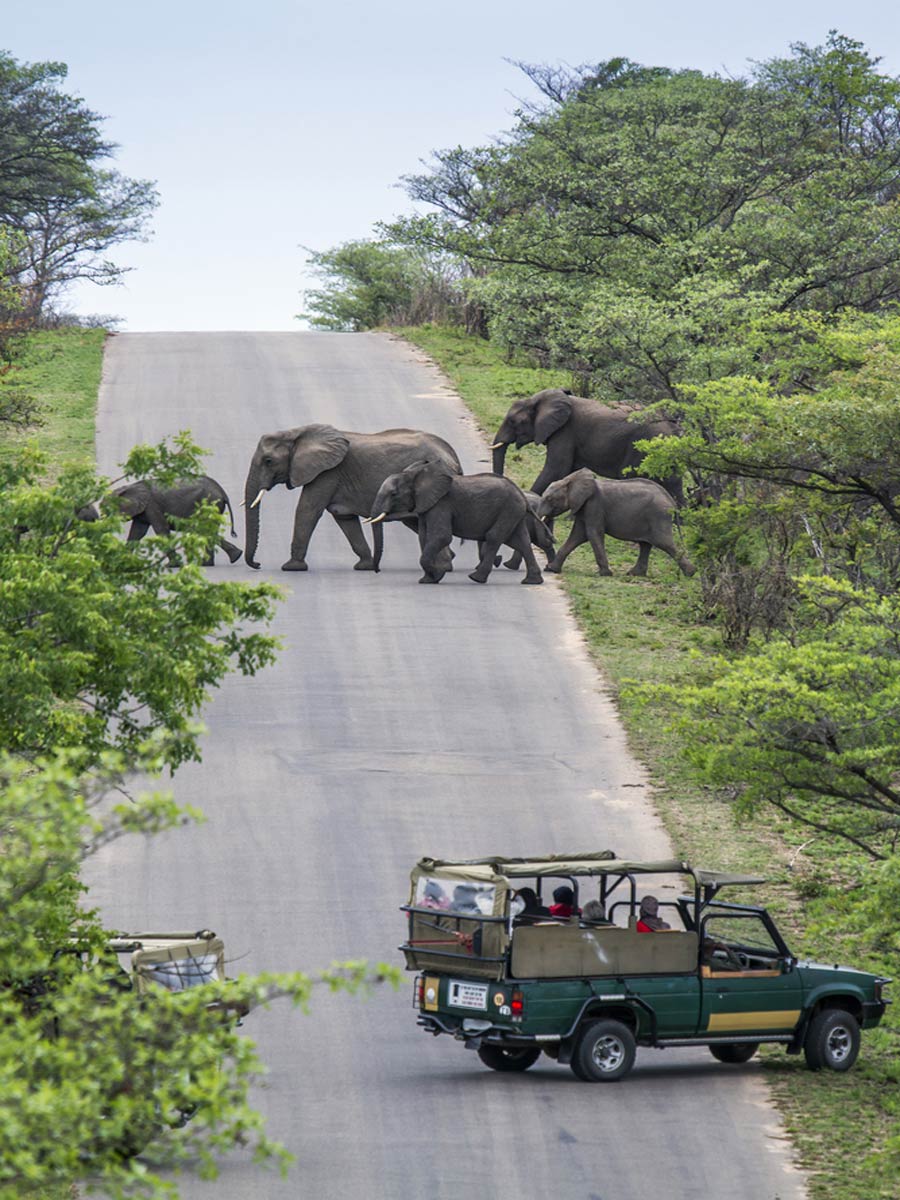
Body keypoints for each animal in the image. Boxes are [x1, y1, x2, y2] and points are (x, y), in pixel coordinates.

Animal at [78, 475, 243, 564]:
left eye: (107, 512)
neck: (129, 487)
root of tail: (223, 493)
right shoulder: (144, 510)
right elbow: (137, 532)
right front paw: (121, 561)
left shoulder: (152, 505)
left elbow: (161, 530)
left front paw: (172, 566)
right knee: (207, 531)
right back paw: (227, 559)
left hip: (209, 503)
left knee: (204, 530)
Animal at [243, 422, 460, 571]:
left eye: (268, 461)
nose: (258, 564)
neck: (295, 432)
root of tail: (452, 455)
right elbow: (344, 518)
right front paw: (364, 566)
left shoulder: (327, 473)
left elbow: (308, 510)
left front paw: (291, 567)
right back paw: (446, 562)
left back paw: (443, 566)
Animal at [367, 458, 549, 585]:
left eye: (393, 494)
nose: (376, 571)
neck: (416, 475)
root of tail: (522, 495)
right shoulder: (426, 506)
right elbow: (424, 537)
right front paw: (429, 580)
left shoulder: (441, 504)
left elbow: (441, 536)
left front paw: (438, 574)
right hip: (513, 512)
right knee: (520, 541)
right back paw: (531, 581)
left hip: (508, 509)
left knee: (494, 537)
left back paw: (476, 578)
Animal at [494, 388, 681, 501]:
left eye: (512, 421)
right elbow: (568, 470)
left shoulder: (565, 432)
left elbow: (556, 468)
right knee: (673, 483)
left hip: (642, 446)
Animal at [535, 465, 696, 578]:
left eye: (549, 499)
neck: (571, 480)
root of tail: (672, 502)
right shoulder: (583, 507)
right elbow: (578, 535)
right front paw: (551, 569)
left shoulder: (595, 505)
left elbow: (592, 534)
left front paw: (605, 574)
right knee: (645, 545)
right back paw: (634, 574)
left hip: (659, 517)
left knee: (664, 543)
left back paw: (691, 574)